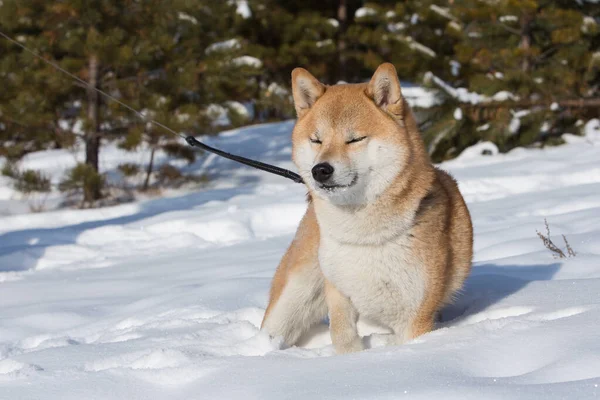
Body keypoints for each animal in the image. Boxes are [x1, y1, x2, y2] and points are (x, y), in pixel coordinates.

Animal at [262, 62, 474, 354]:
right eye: (317, 140)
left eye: (355, 139)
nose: (320, 170)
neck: (364, 237)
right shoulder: (339, 295)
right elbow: (343, 336)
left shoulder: (415, 318)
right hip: (293, 299)